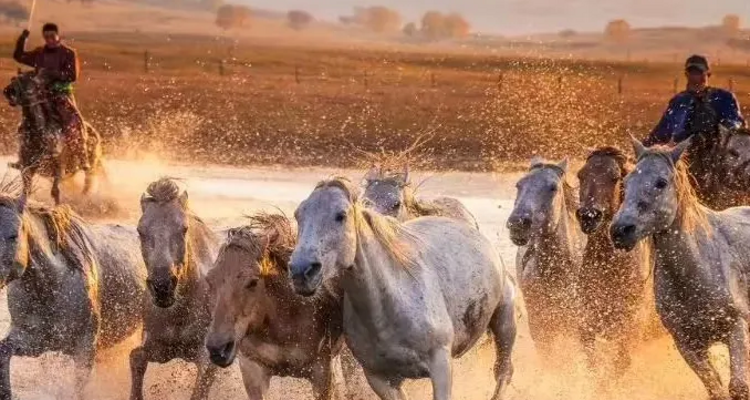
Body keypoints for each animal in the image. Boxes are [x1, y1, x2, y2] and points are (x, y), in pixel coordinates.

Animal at [3, 70, 104, 205]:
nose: (7, 91)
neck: (37, 135)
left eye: (25, 81)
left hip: (90, 165)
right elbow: (26, 190)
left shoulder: (58, 168)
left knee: (88, 182)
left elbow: (55, 192)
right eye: (12, 79)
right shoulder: (26, 167)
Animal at [129, 178, 220, 400]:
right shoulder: (160, 348)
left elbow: (201, 387)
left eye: (184, 228)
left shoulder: (206, 356)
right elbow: (136, 357)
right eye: (140, 231)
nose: (162, 286)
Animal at [289, 177, 516, 400]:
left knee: (503, 372)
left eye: (341, 215)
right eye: (298, 215)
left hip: (504, 322)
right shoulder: (380, 379)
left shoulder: (441, 365)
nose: (301, 270)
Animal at [575, 147, 655, 376]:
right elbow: (591, 358)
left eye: (614, 177)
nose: (589, 216)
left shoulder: (631, 329)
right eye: (581, 175)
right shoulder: (589, 321)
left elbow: (620, 364)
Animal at [611, 138, 750, 400]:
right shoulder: (687, 345)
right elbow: (716, 390)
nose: (620, 229)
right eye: (627, 181)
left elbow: (738, 387)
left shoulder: (737, 327)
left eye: (661, 182)